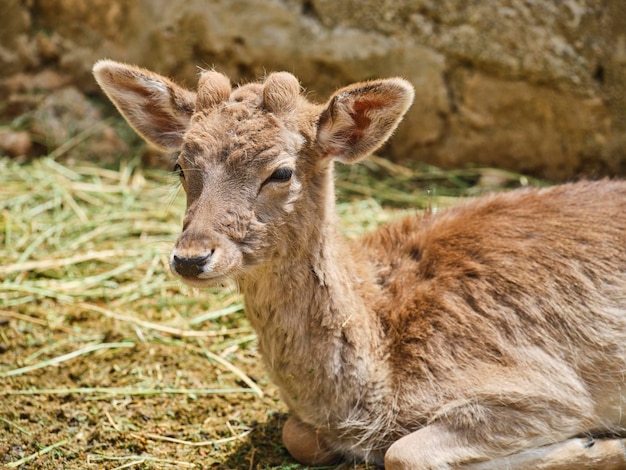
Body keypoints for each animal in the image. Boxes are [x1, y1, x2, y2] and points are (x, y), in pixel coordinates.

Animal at [92, 59, 624, 470]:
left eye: (281, 171)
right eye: (180, 166)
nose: (191, 256)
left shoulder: (545, 387)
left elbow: (403, 454)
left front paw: (597, 445)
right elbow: (299, 436)